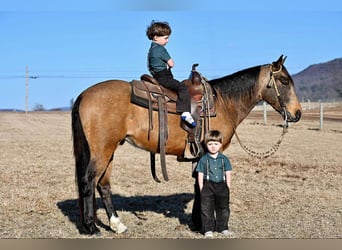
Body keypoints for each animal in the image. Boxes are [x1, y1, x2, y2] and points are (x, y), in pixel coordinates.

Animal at [72, 54, 302, 234]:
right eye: (283, 80)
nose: (297, 113)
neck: (224, 102)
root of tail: (83, 94)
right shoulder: (209, 150)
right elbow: (204, 185)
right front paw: (204, 224)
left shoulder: (199, 154)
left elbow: (198, 184)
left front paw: (197, 221)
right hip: (102, 150)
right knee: (88, 181)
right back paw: (91, 227)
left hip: (109, 149)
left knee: (103, 185)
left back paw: (117, 225)